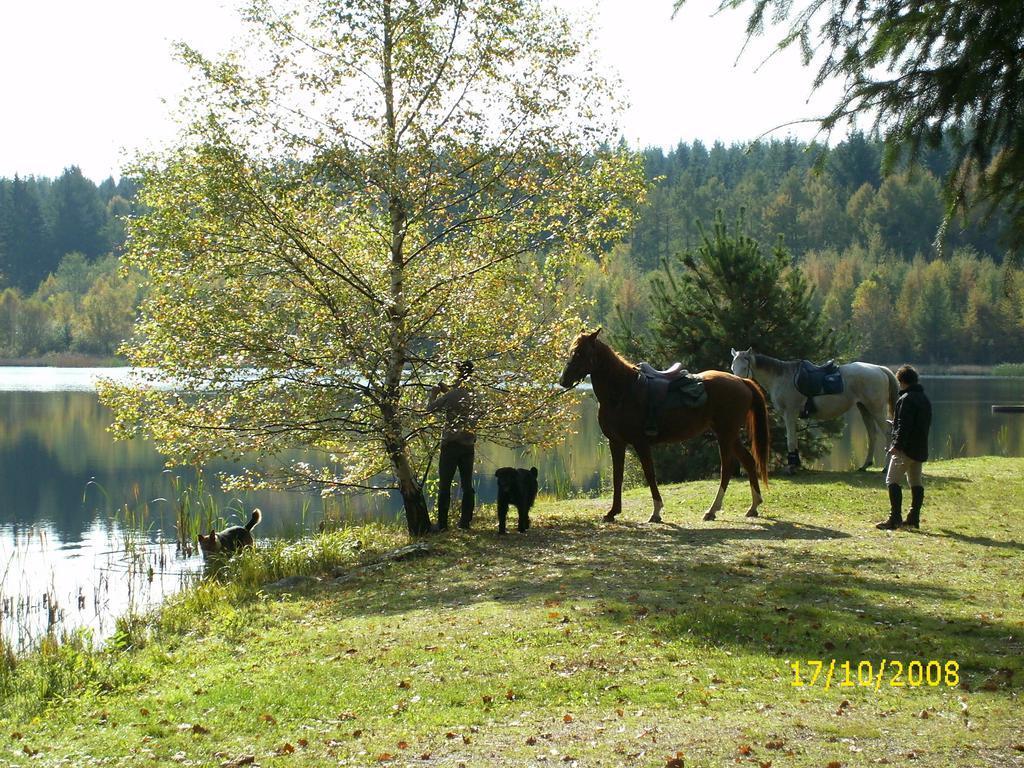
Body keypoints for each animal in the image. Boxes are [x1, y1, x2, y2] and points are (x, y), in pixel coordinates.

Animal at [561, 331, 770, 524]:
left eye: (580, 353)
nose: (563, 380)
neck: (622, 392)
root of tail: (742, 381)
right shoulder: (616, 442)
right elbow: (617, 476)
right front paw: (612, 512)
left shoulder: (640, 442)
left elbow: (649, 474)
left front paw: (656, 511)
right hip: (729, 434)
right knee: (748, 461)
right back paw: (753, 506)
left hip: (725, 434)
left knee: (726, 467)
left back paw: (712, 510)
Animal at [729, 350, 897, 473]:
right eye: (732, 366)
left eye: (744, 367)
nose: (737, 384)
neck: (780, 377)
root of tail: (879, 368)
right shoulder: (789, 415)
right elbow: (793, 438)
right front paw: (795, 463)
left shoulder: (790, 413)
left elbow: (791, 439)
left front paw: (791, 466)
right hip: (865, 409)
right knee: (872, 434)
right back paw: (865, 465)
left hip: (876, 409)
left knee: (888, 432)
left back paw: (886, 467)